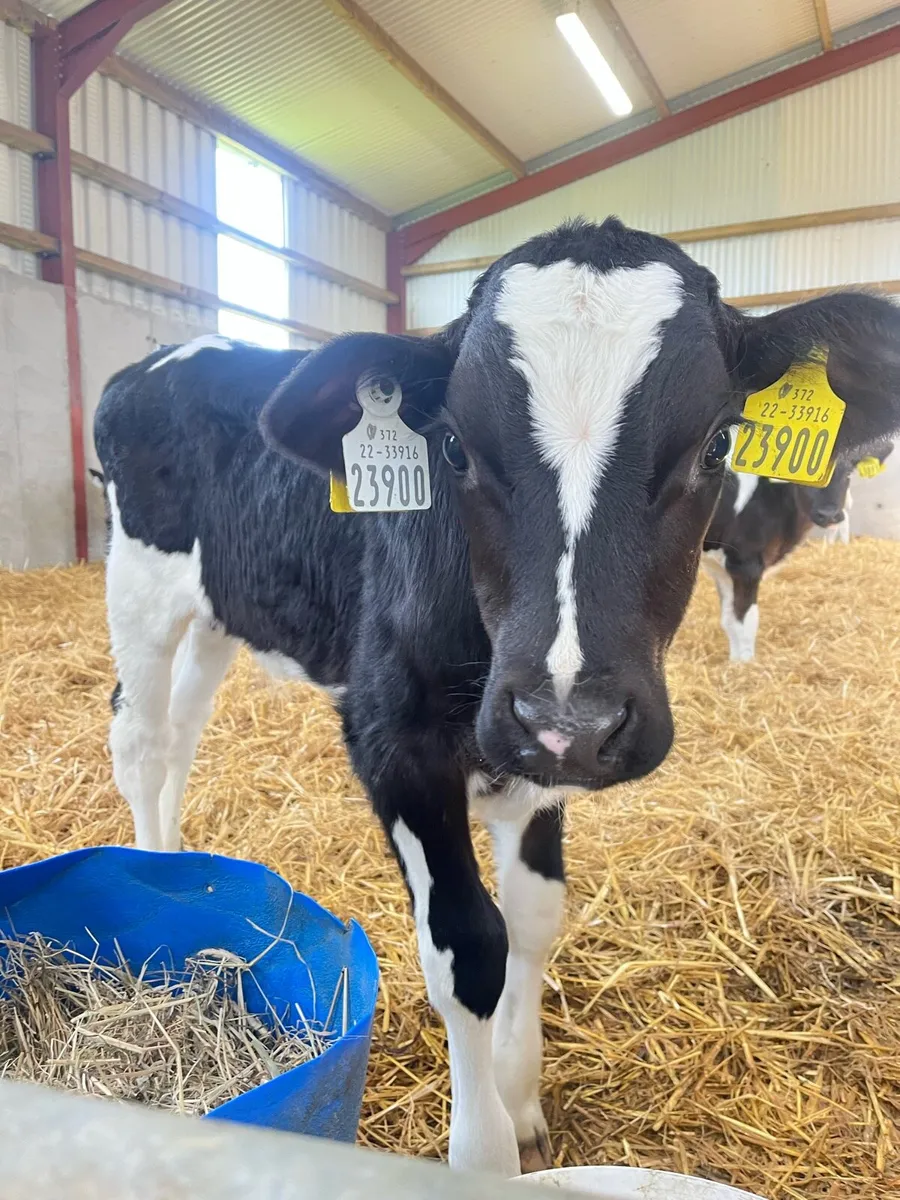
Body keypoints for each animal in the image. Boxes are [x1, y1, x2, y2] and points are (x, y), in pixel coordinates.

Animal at [702, 439, 894, 661]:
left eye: (848, 473)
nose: (828, 515)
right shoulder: (746, 564)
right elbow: (745, 623)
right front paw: (747, 664)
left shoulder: (721, 568)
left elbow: (729, 620)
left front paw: (734, 663)